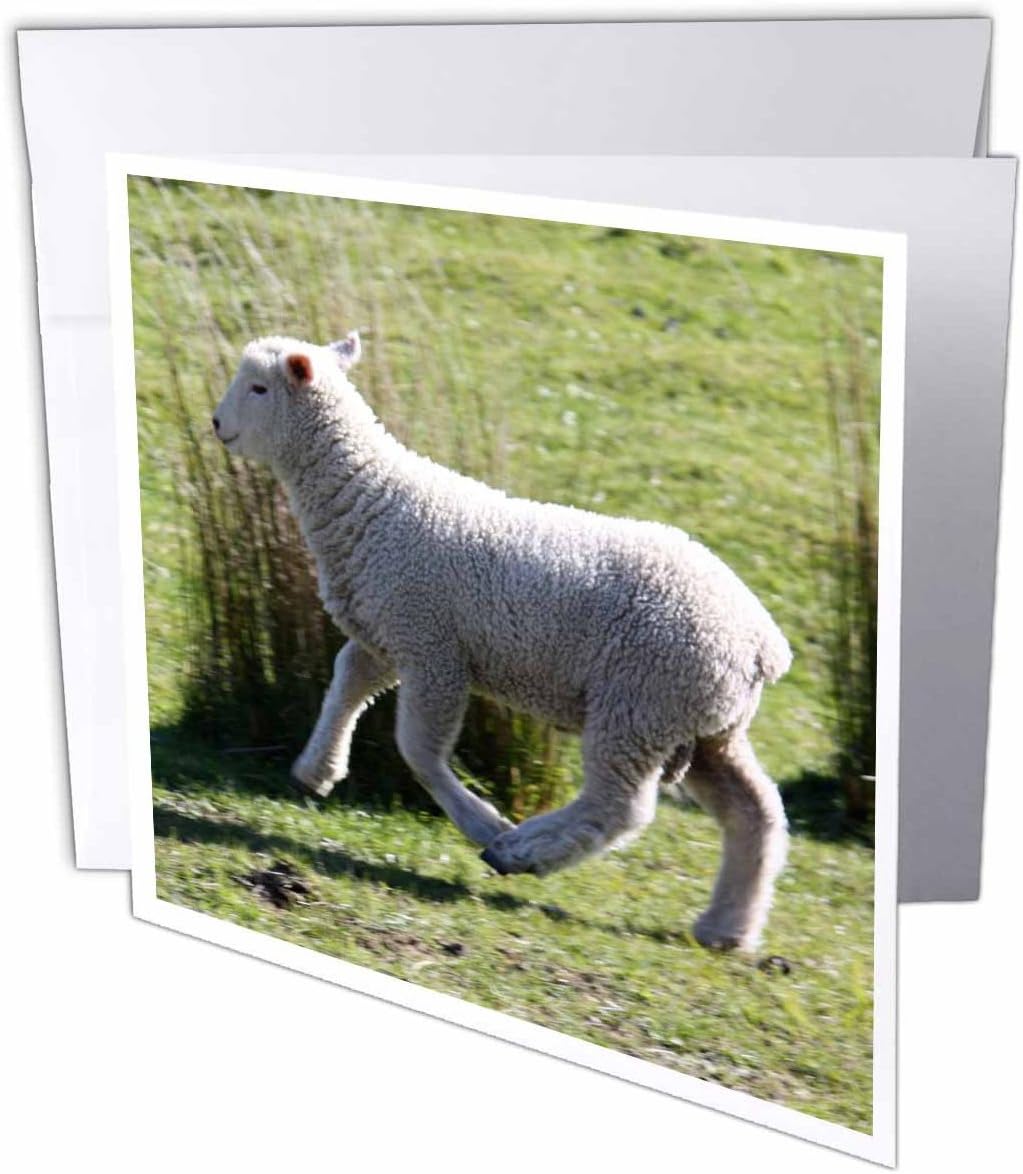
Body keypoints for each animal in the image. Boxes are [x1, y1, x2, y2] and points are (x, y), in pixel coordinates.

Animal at [211, 332, 793, 951]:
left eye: (259, 388)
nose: (217, 422)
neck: (371, 501)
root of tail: (763, 643)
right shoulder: (387, 634)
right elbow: (345, 685)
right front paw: (317, 768)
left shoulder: (433, 647)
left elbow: (418, 748)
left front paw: (482, 822)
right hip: (701, 723)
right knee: (754, 812)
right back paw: (727, 927)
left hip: (640, 702)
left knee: (620, 808)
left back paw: (521, 851)